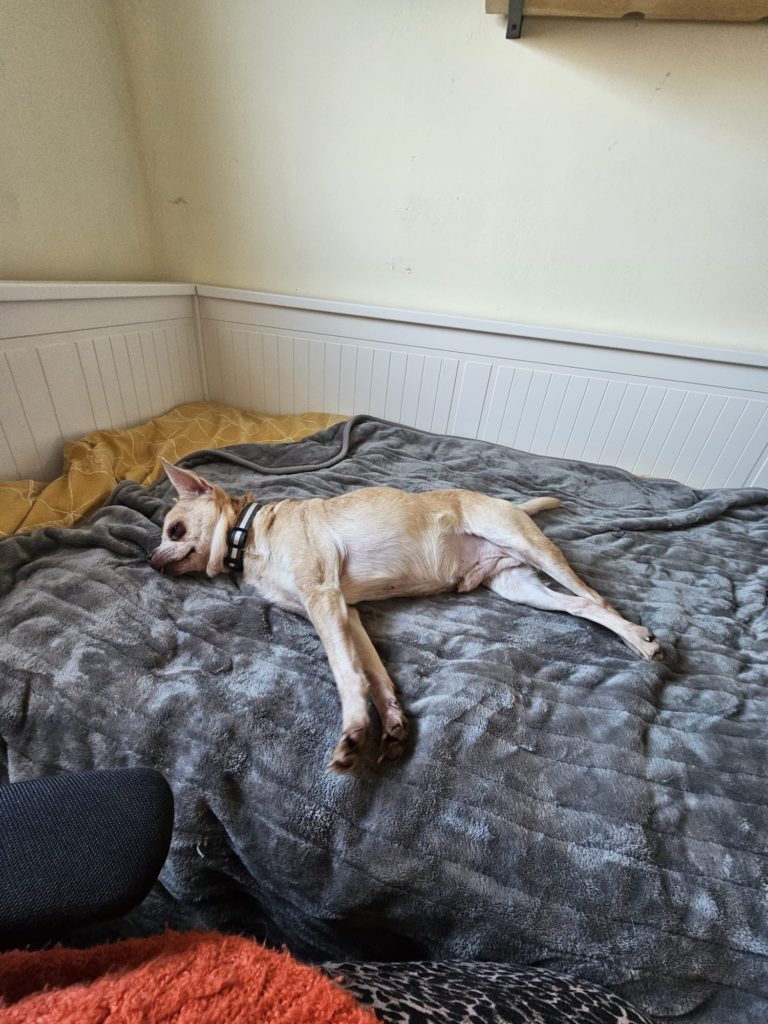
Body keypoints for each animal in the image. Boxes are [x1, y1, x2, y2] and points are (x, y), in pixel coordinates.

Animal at [150, 459, 662, 771]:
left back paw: (638, 638)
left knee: (597, 598)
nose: (150, 561)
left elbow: (347, 674)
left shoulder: (324, 600)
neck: (249, 533)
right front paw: (392, 724)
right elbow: (374, 675)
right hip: (521, 588)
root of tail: (511, 505)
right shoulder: (348, 613)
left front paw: (355, 731)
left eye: (174, 530)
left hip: (531, 548)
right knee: (582, 605)